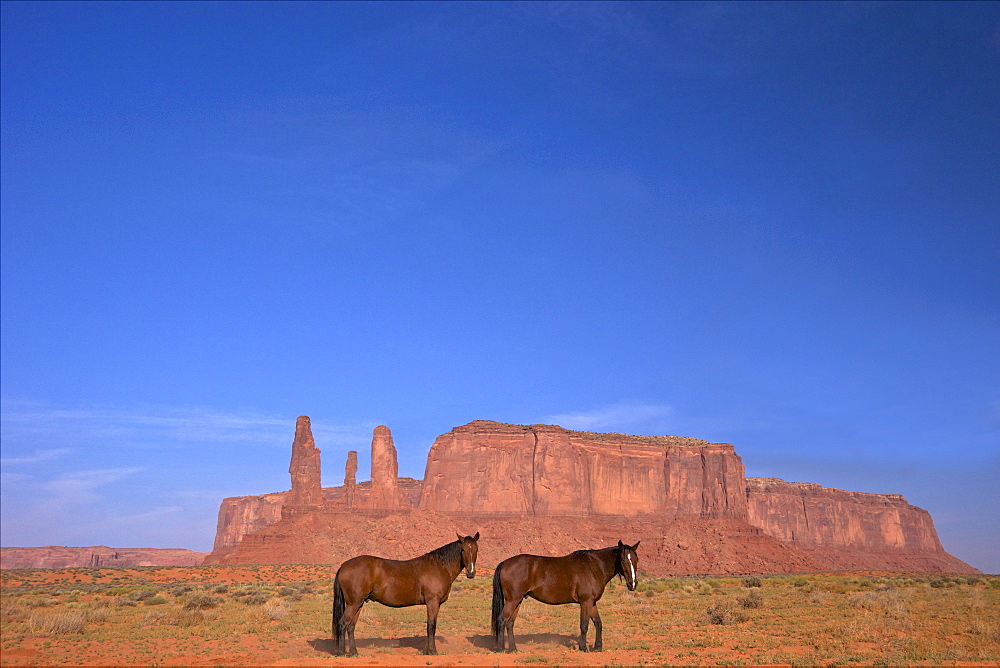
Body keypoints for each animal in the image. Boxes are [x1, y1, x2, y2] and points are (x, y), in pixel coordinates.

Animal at [332, 532, 480, 656]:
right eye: (463, 549)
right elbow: (431, 626)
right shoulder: (432, 602)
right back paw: (341, 653)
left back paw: (354, 653)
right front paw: (432, 651)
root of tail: (344, 566)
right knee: (342, 624)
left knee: (351, 627)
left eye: (476, 549)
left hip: (359, 603)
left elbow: (430, 626)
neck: (439, 566)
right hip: (353, 603)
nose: (471, 573)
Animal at [492, 536, 640, 652]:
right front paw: (583, 647)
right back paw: (500, 649)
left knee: (510, 623)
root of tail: (504, 562)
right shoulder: (585, 602)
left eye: (636, 559)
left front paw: (598, 647)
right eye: (623, 560)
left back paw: (513, 649)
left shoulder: (592, 602)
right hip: (512, 600)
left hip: (518, 600)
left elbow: (598, 623)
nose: (632, 584)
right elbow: (584, 625)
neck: (594, 567)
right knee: (502, 620)